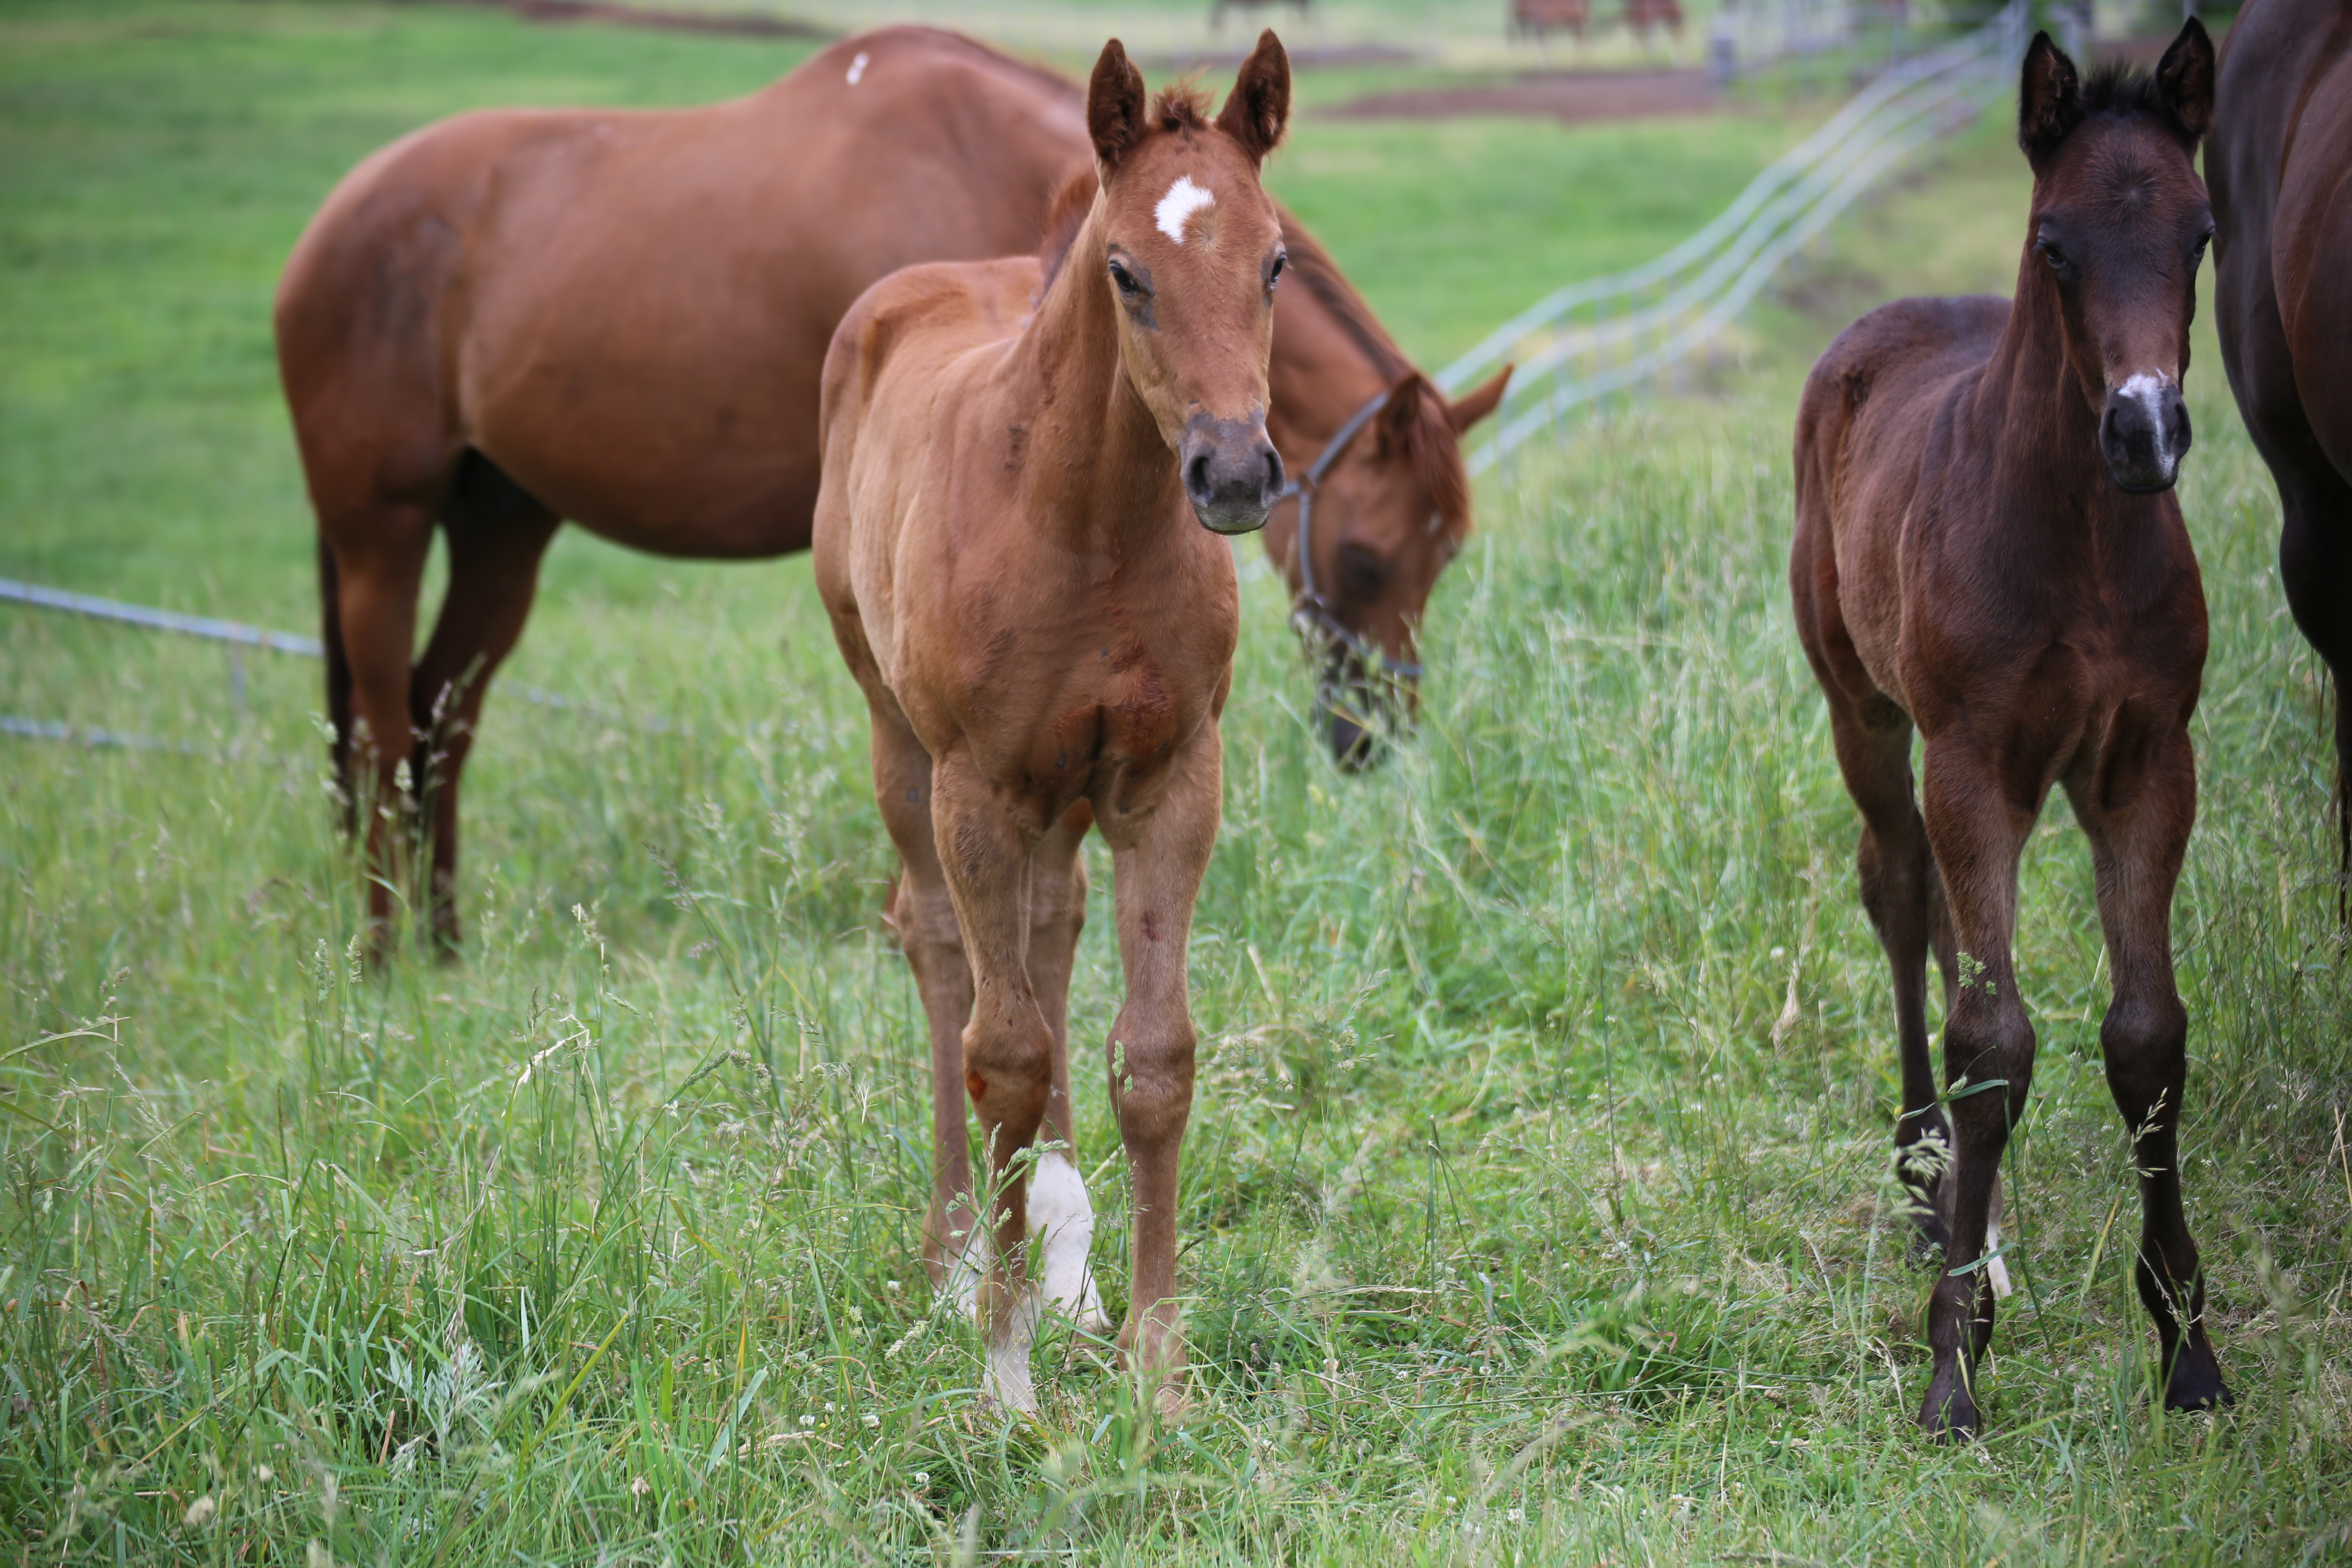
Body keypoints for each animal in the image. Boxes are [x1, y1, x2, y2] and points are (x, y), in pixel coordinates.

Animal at [280, 24, 1505, 959]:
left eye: (1272, 267)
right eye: (1366, 556)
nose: (1375, 736)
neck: (986, 170)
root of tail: (334, 221)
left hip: (502, 528)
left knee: (441, 718)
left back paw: (444, 944)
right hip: (380, 531)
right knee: (383, 724)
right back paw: (386, 954)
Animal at [809, 36, 1289, 1420]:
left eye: (1276, 261)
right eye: (1126, 270)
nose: (1234, 474)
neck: (1083, 525)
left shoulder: (1170, 780)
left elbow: (1156, 1056)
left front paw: (1154, 1363)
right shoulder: (980, 786)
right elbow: (1006, 1053)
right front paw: (1006, 1371)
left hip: (1067, 793)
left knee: (1052, 926)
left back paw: (1068, 1266)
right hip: (899, 739)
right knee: (940, 947)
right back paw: (954, 1253)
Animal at [1787, 21, 2230, 1448]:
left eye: (2202, 232)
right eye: (2055, 244)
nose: (2145, 429)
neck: (2080, 540)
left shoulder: (2147, 761)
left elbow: (2145, 1035)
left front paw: (2188, 1347)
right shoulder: (1974, 762)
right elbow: (1994, 1041)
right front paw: (1955, 1361)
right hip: (1867, 715)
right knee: (1899, 892)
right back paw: (1927, 1170)